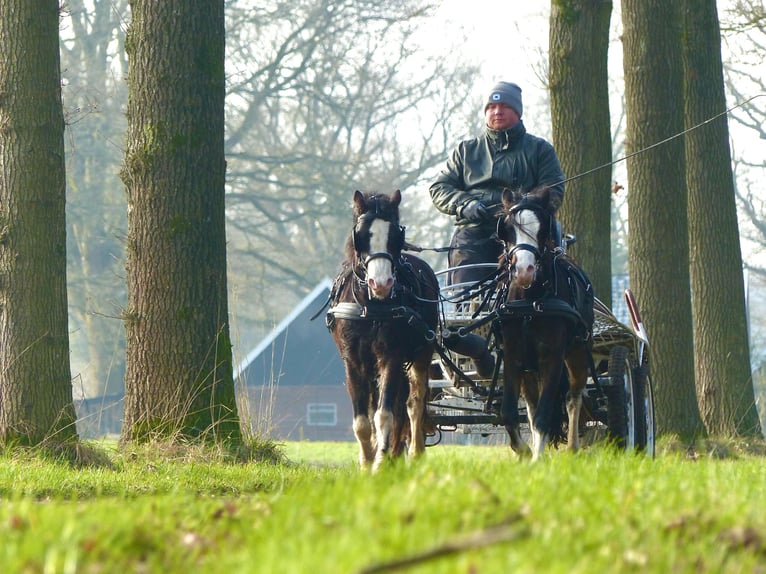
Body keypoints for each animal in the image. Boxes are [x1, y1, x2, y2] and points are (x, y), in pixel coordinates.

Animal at [496, 189, 596, 464]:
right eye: (508, 229)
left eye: (542, 229)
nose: (524, 271)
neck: (531, 302)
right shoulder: (513, 355)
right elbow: (510, 413)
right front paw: (524, 450)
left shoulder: (552, 356)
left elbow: (545, 413)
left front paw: (536, 459)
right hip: (530, 369)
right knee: (531, 405)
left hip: (577, 352)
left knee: (573, 396)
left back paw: (572, 448)